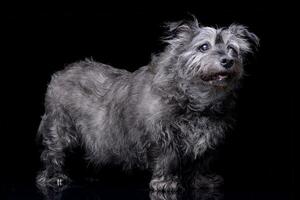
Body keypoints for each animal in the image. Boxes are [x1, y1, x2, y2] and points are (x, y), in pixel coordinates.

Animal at [37, 18, 258, 192]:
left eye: (232, 49)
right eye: (203, 47)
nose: (228, 61)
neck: (196, 98)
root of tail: (62, 72)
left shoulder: (208, 137)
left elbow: (202, 161)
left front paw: (202, 180)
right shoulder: (162, 135)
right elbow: (167, 158)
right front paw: (165, 182)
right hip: (60, 128)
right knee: (52, 153)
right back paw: (53, 176)